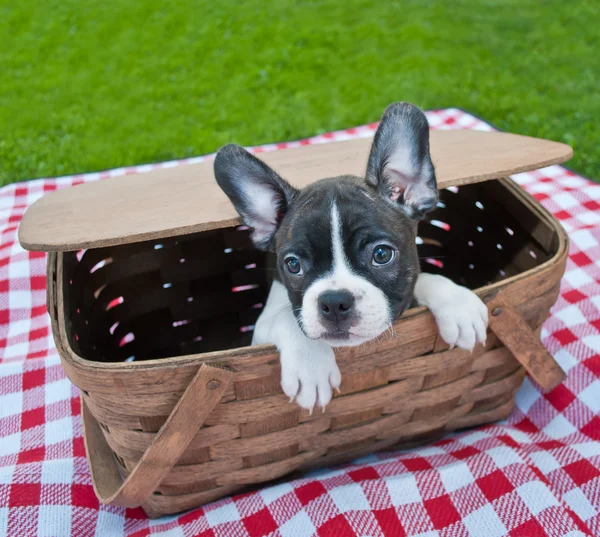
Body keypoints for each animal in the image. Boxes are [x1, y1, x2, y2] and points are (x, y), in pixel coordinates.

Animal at [214, 101, 488, 410]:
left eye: (382, 254)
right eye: (293, 265)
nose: (334, 302)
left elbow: (423, 277)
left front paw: (458, 304)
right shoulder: (260, 330)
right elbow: (287, 317)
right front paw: (310, 365)